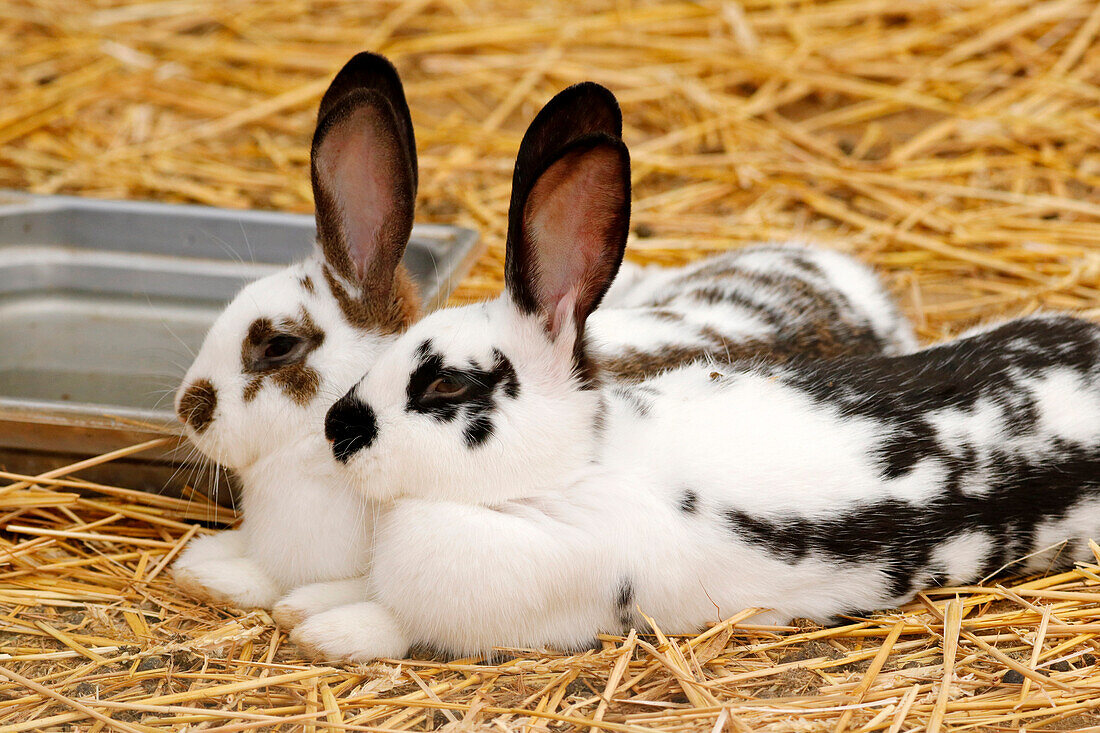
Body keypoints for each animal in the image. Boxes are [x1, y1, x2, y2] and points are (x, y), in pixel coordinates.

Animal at [294, 108, 1100, 660]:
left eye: (444, 388)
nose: (337, 428)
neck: (567, 474)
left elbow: (393, 621)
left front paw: (326, 629)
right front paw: (303, 601)